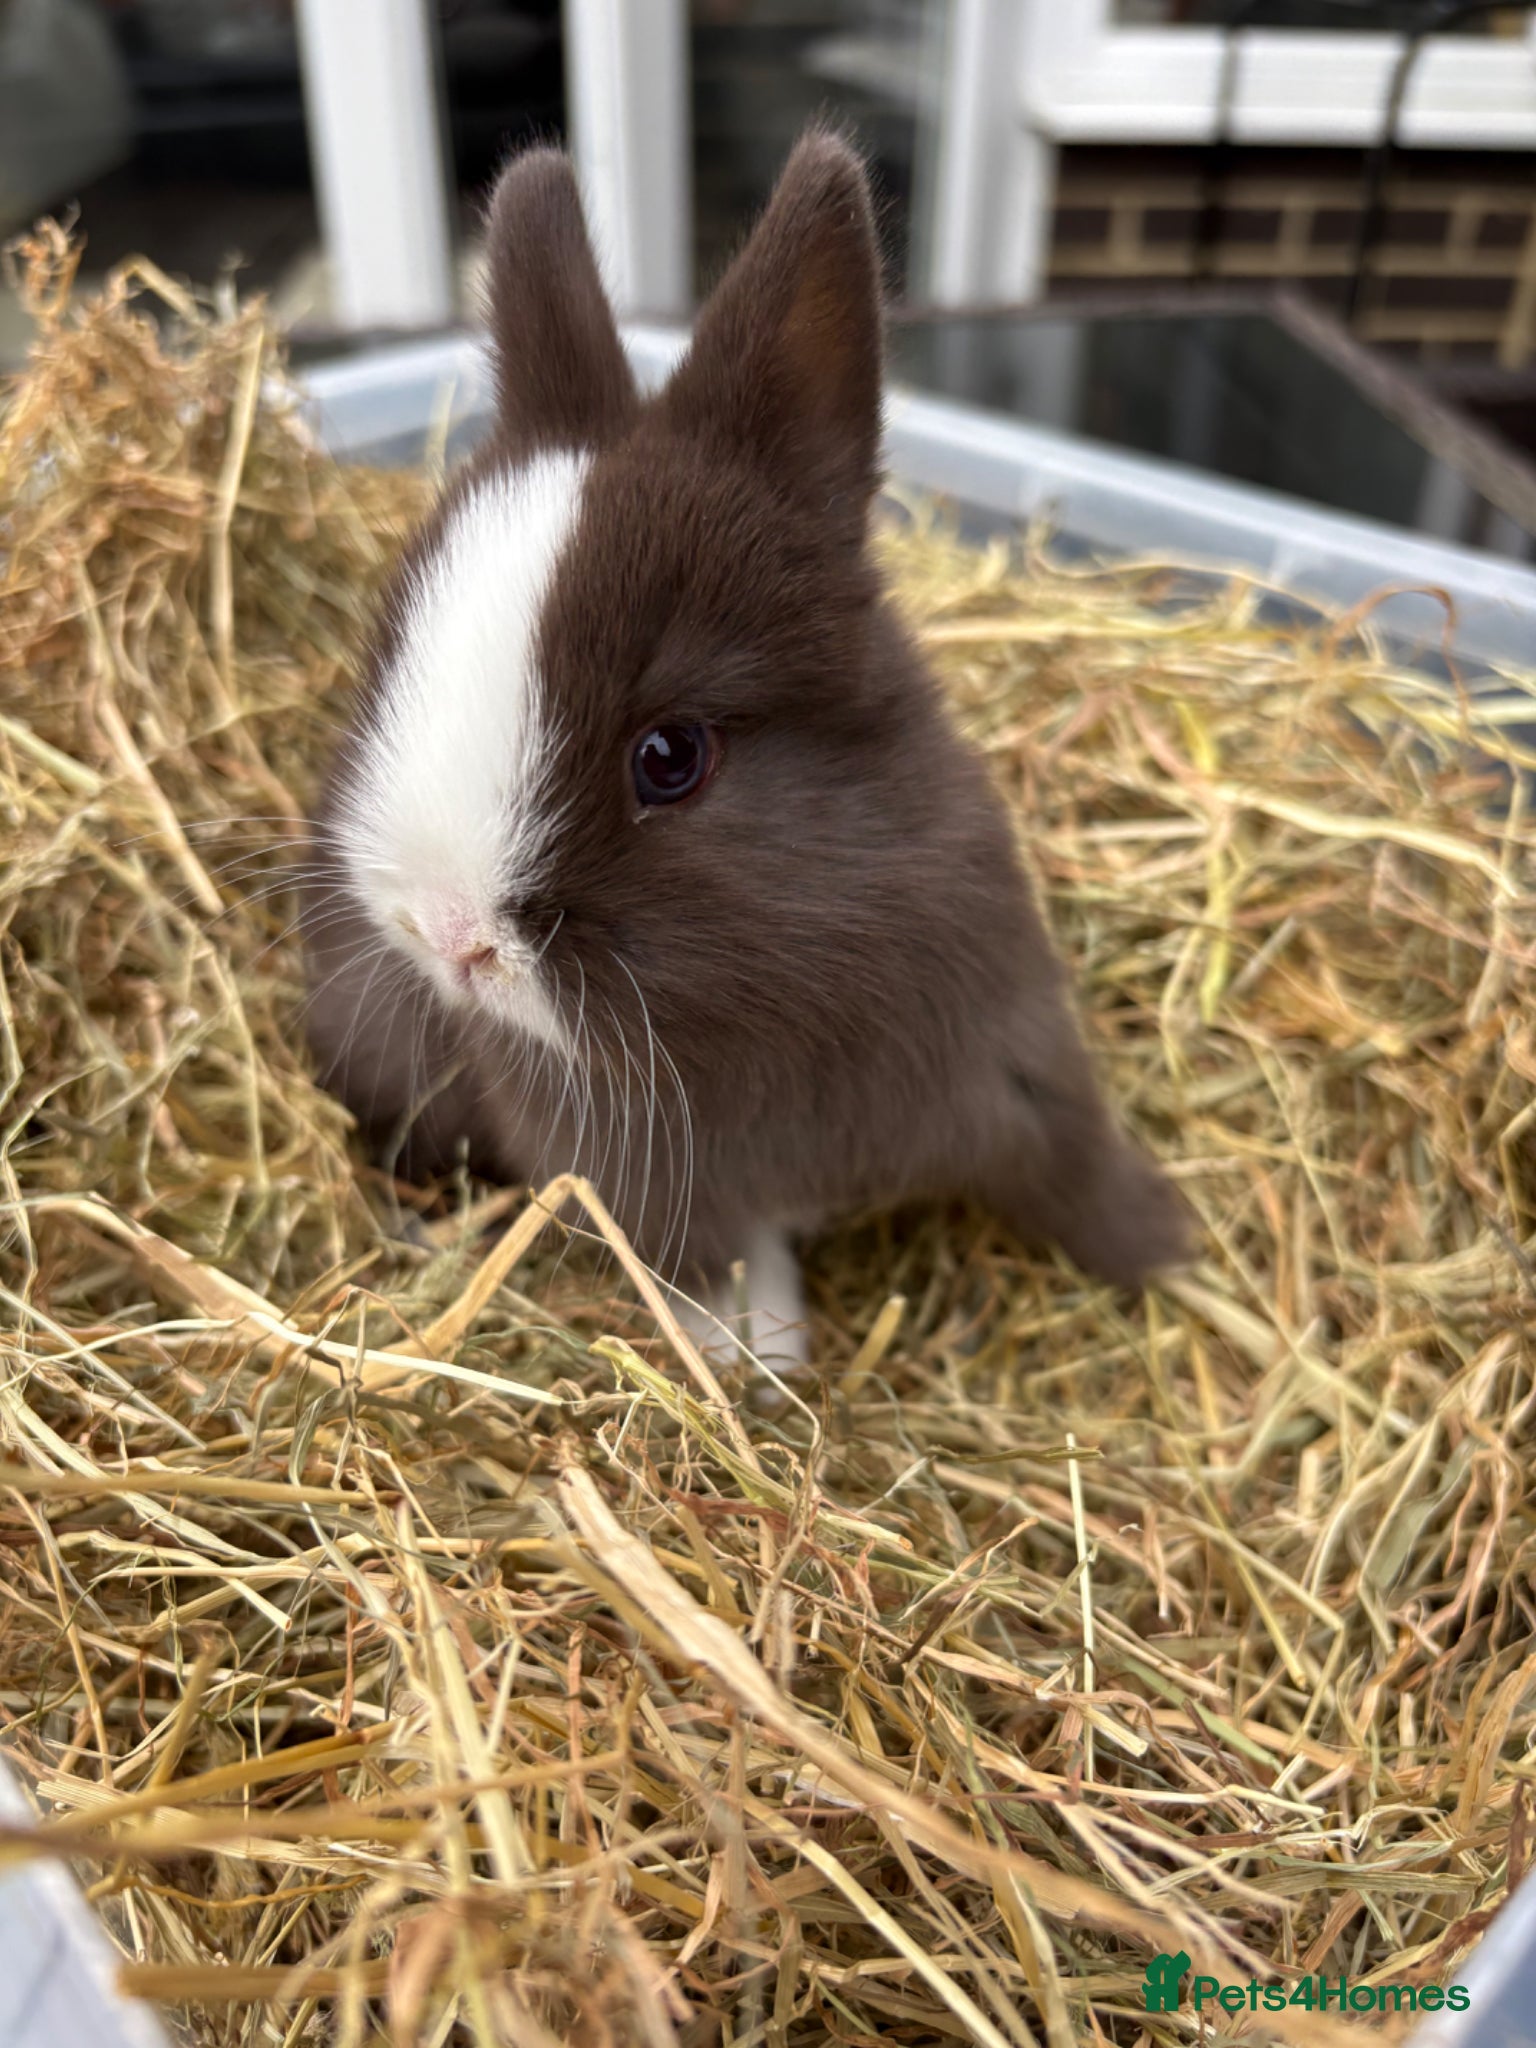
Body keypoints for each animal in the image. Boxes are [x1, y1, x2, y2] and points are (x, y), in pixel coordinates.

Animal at [300, 129, 1190, 1369]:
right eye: (389, 666)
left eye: (672, 755)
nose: (445, 935)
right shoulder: (645, 1179)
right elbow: (710, 1263)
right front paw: (759, 1359)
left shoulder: (1023, 1065)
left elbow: (1082, 1181)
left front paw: (1177, 1258)